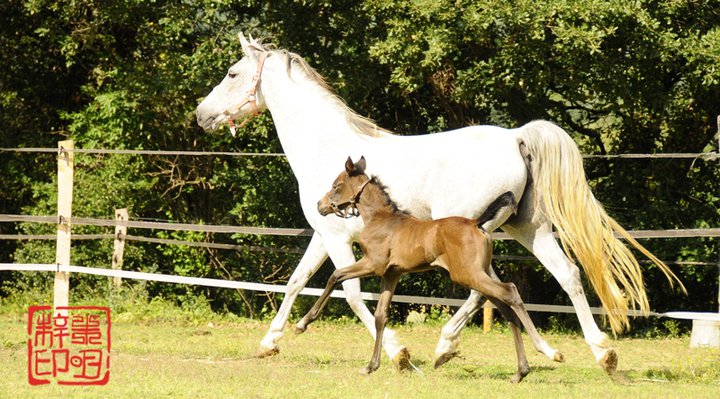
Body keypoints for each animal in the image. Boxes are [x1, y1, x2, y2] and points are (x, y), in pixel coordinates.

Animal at [296, 155, 548, 382]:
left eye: (336, 186)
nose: (320, 206)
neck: (380, 219)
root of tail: (476, 224)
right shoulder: (392, 273)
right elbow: (380, 316)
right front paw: (371, 366)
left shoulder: (374, 264)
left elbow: (335, 275)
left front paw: (303, 323)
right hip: (478, 273)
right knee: (505, 308)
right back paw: (520, 372)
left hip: (467, 274)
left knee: (510, 291)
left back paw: (544, 350)